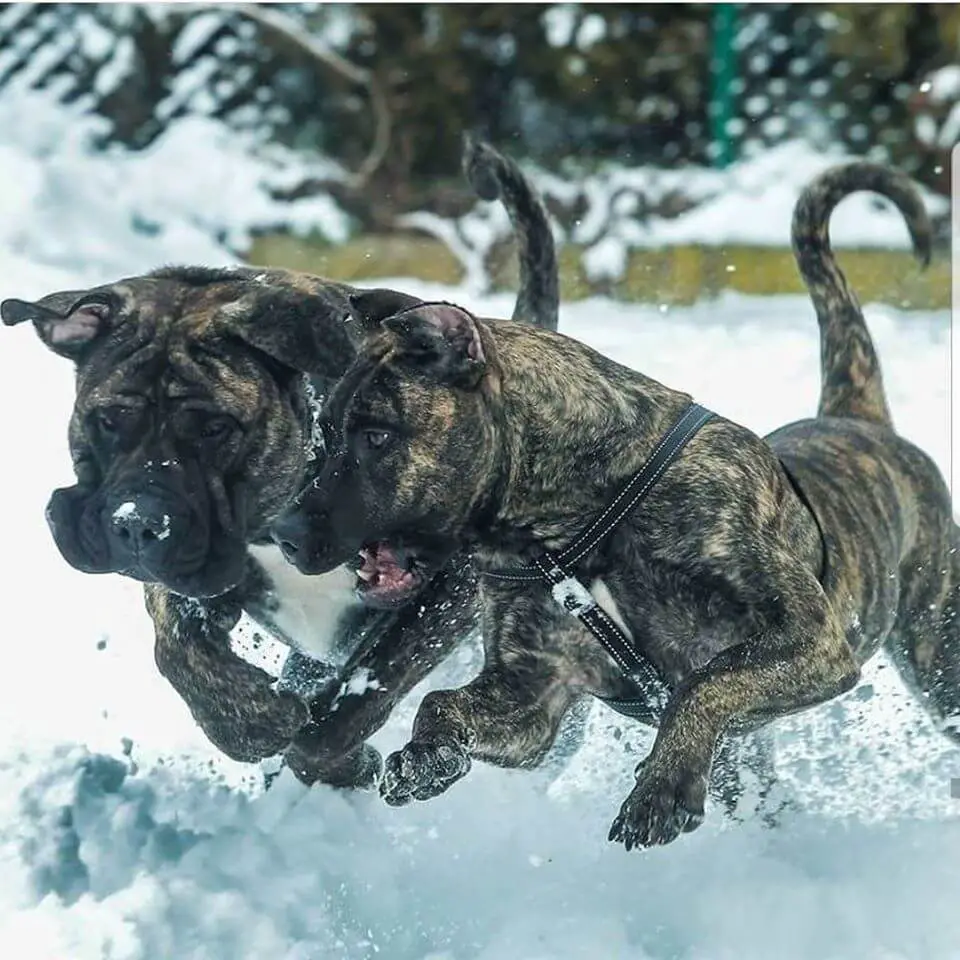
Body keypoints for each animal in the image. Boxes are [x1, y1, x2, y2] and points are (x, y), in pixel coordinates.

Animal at [0, 139, 560, 792]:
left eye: (216, 428)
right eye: (108, 421)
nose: (138, 521)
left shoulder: (450, 587)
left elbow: (370, 686)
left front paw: (339, 756)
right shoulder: (191, 573)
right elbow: (179, 650)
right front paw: (254, 719)